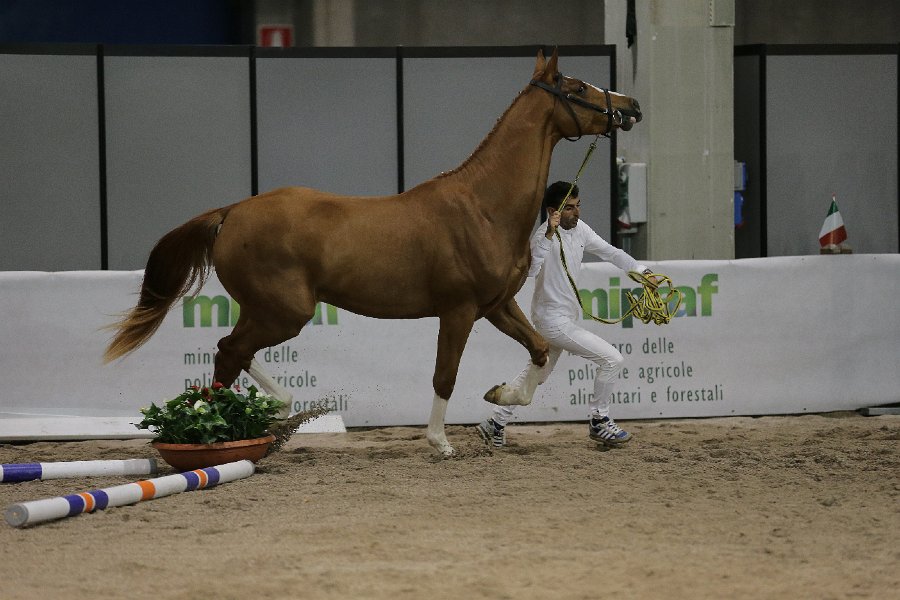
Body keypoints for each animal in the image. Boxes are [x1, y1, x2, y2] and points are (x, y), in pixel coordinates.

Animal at [104, 48, 643, 456]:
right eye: (577, 87)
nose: (631, 105)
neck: (483, 207)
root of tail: (232, 211)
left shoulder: (496, 305)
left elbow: (540, 349)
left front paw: (500, 394)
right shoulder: (458, 311)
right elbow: (445, 375)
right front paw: (440, 443)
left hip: (267, 310)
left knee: (231, 351)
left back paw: (273, 414)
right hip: (286, 312)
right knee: (229, 351)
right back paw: (234, 426)